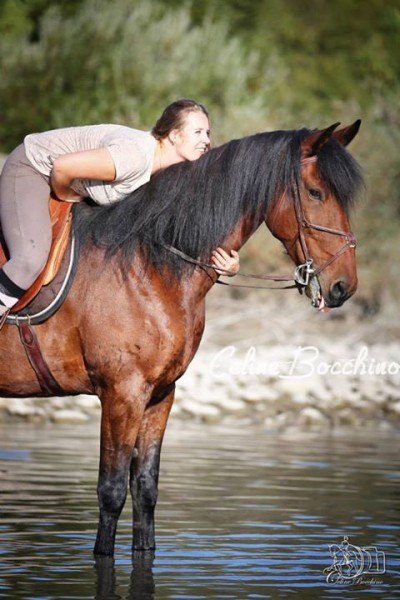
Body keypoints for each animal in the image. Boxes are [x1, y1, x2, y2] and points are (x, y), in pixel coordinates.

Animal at [0, 121, 363, 556]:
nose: (345, 286)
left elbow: (145, 489)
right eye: (315, 192)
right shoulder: (122, 394)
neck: (149, 264)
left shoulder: (160, 394)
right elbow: (111, 492)